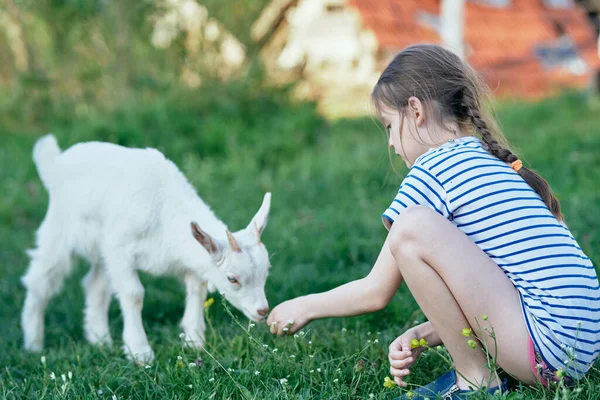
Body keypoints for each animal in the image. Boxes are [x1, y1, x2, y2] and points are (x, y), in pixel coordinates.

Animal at [20, 134, 270, 362]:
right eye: (232, 278)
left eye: (267, 271)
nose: (263, 311)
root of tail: (56, 163)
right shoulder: (120, 251)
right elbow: (134, 294)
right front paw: (140, 352)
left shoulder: (191, 260)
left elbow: (196, 290)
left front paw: (194, 342)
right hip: (60, 230)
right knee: (41, 280)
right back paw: (34, 344)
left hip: (102, 250)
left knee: (95, 284)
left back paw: (100, 340)